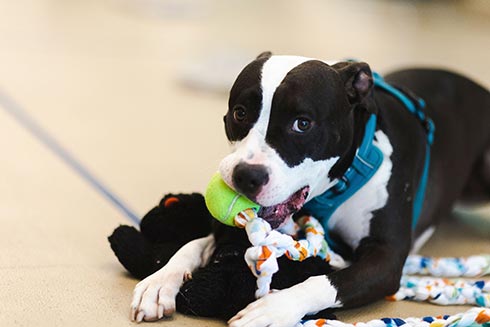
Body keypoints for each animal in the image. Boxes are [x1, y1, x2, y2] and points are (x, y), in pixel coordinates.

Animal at [129, 52, 490, 326]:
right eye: (240, 113)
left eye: (302, 123)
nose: (246, 175)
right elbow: (194, 243)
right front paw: (160, 281)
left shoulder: (385, 260)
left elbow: (324, 281)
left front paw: (274, 309)